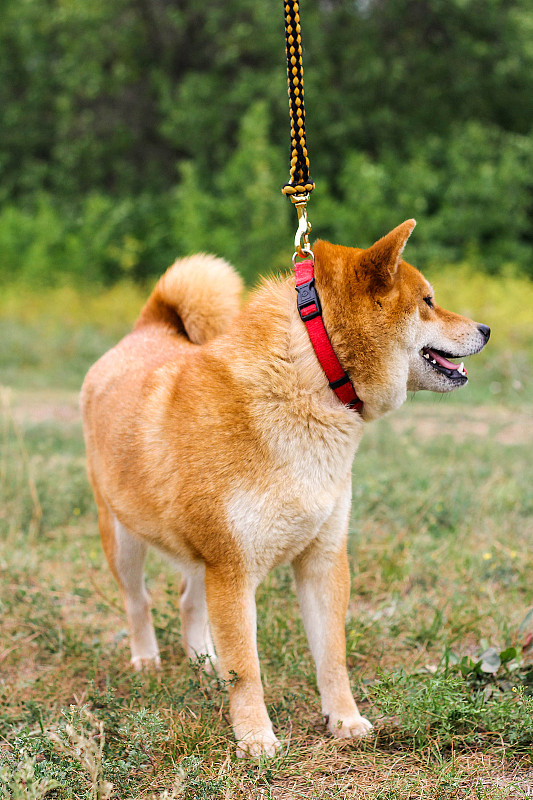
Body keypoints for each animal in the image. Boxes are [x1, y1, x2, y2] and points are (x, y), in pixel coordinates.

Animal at [80, 220, 490, 756]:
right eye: (428, 300)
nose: (485, 330)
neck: (310, 375)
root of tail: (146, 330)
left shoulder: (322, 560)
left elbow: (332, 656)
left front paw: (344, 720)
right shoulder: (233, 572)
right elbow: (247, 669)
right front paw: (256, 738)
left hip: (197, 556)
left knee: (188, 601)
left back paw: (204, 664)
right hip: (125, 539)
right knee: (139, 601)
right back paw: (147, 660)